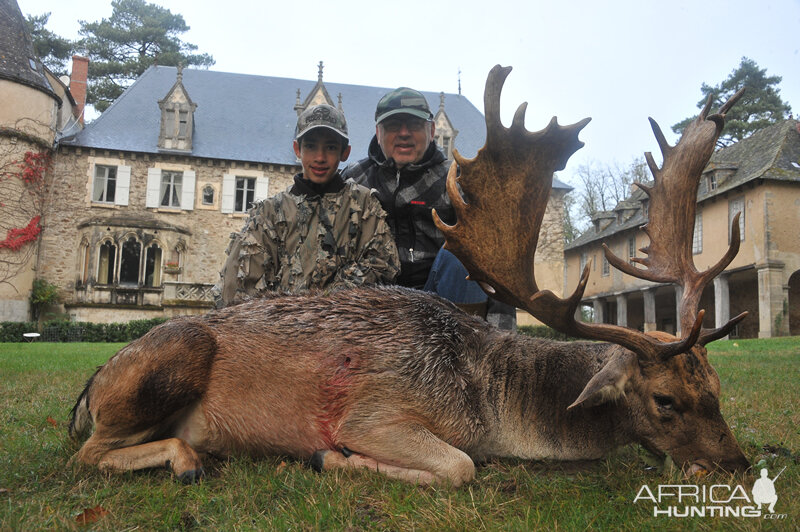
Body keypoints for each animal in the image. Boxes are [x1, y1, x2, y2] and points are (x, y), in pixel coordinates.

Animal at [69, 65, 752, 486]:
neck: (490, 404)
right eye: (665, 401)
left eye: (717, 387)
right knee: (89, 453)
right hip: (173, 352)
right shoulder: (375, 414)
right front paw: (327, 458)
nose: (740, 465)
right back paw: (187, 459)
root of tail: (91, 384)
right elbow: (459, 468)